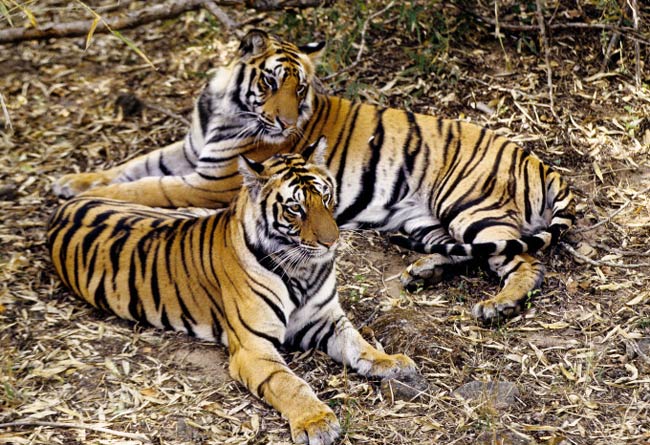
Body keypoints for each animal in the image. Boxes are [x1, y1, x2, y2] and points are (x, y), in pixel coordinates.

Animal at [47, 140, 416, 445]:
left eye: (325, 197)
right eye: (295, 208)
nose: (332, 242)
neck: (303, 270)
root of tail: (65, 208)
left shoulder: (325, 318)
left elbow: (359, 342)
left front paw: (391, 362)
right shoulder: (254, 347)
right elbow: (288, 382)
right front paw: (316, 422)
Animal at [52, 29, 575, 323]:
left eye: (299, 87)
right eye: (269, 81)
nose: (285, 124)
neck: (223, 107)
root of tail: (543, 165)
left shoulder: (210, 181)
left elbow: (150, 185)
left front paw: (80, 192)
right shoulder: (188, 151)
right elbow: (135, 165)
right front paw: (71, 181)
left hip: (468, 205)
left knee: (526, 262)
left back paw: (499, 305)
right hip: (423, 222)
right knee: (468, 252)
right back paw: (424, 271)